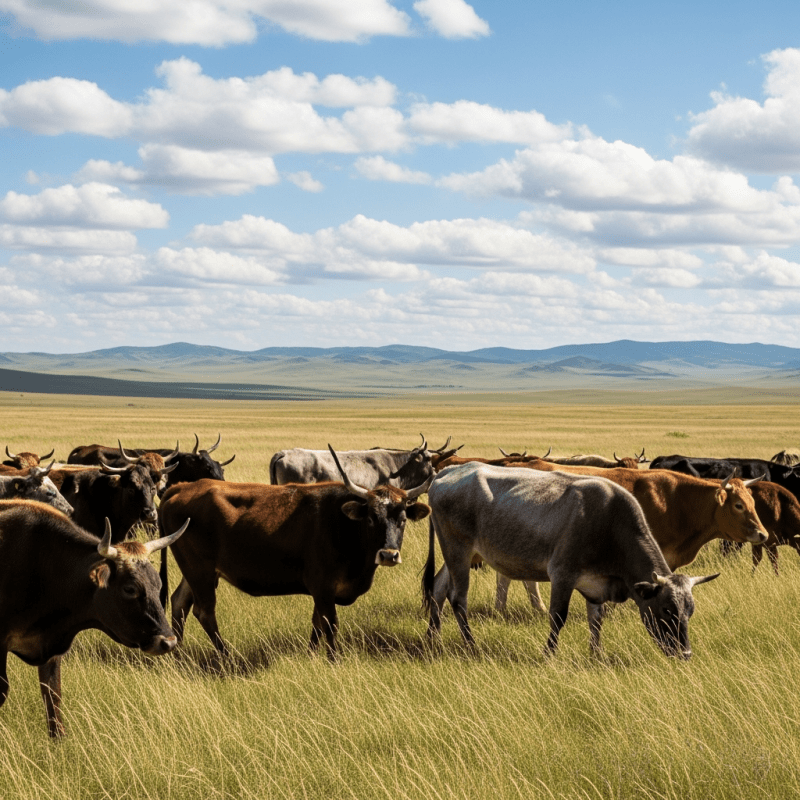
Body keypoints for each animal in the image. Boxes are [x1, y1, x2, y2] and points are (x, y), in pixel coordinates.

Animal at [158, 446, 432, 657]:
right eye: (372, 518)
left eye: (403, 519)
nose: (388, 555)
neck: (344, 524)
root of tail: (179, 488)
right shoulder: (322, 587)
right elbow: (330, 625)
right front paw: (334, 660)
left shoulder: (322, 592)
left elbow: (317, 625)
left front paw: (311, 656)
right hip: (200, 571)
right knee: (204, 612)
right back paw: (227, 655)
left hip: (196, 572)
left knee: (179, 602)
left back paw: (178, 654)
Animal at [422, 463, 719, 658]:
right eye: (666, 609)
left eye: (690, 611)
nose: (685, 653)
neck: (610, 522)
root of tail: (447, 472)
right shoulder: (562, 575)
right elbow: (558, 617)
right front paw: (549, 654)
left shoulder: (596, 586)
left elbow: (596, 620)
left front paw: (596, 655)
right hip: (458, 551)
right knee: (458, 598)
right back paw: (470, 645)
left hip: (457, 554)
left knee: (438, 588)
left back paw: (432, 639)